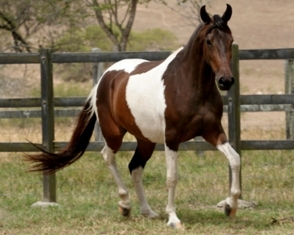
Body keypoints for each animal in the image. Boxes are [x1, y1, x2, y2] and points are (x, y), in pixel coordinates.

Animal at [26, 4, 240, 229]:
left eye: (230, 40)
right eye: (209, 41)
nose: (225, 80)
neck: (187, 84)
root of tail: (105, 78)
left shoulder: (213, 132)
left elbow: (235, 159)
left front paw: (230, 206)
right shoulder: (172, 138)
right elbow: (172, 177)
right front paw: (173, 218)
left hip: (145, 139)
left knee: (135, 167)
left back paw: (147, 211)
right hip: (114, 134)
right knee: (108, 156)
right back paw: (125, 204)